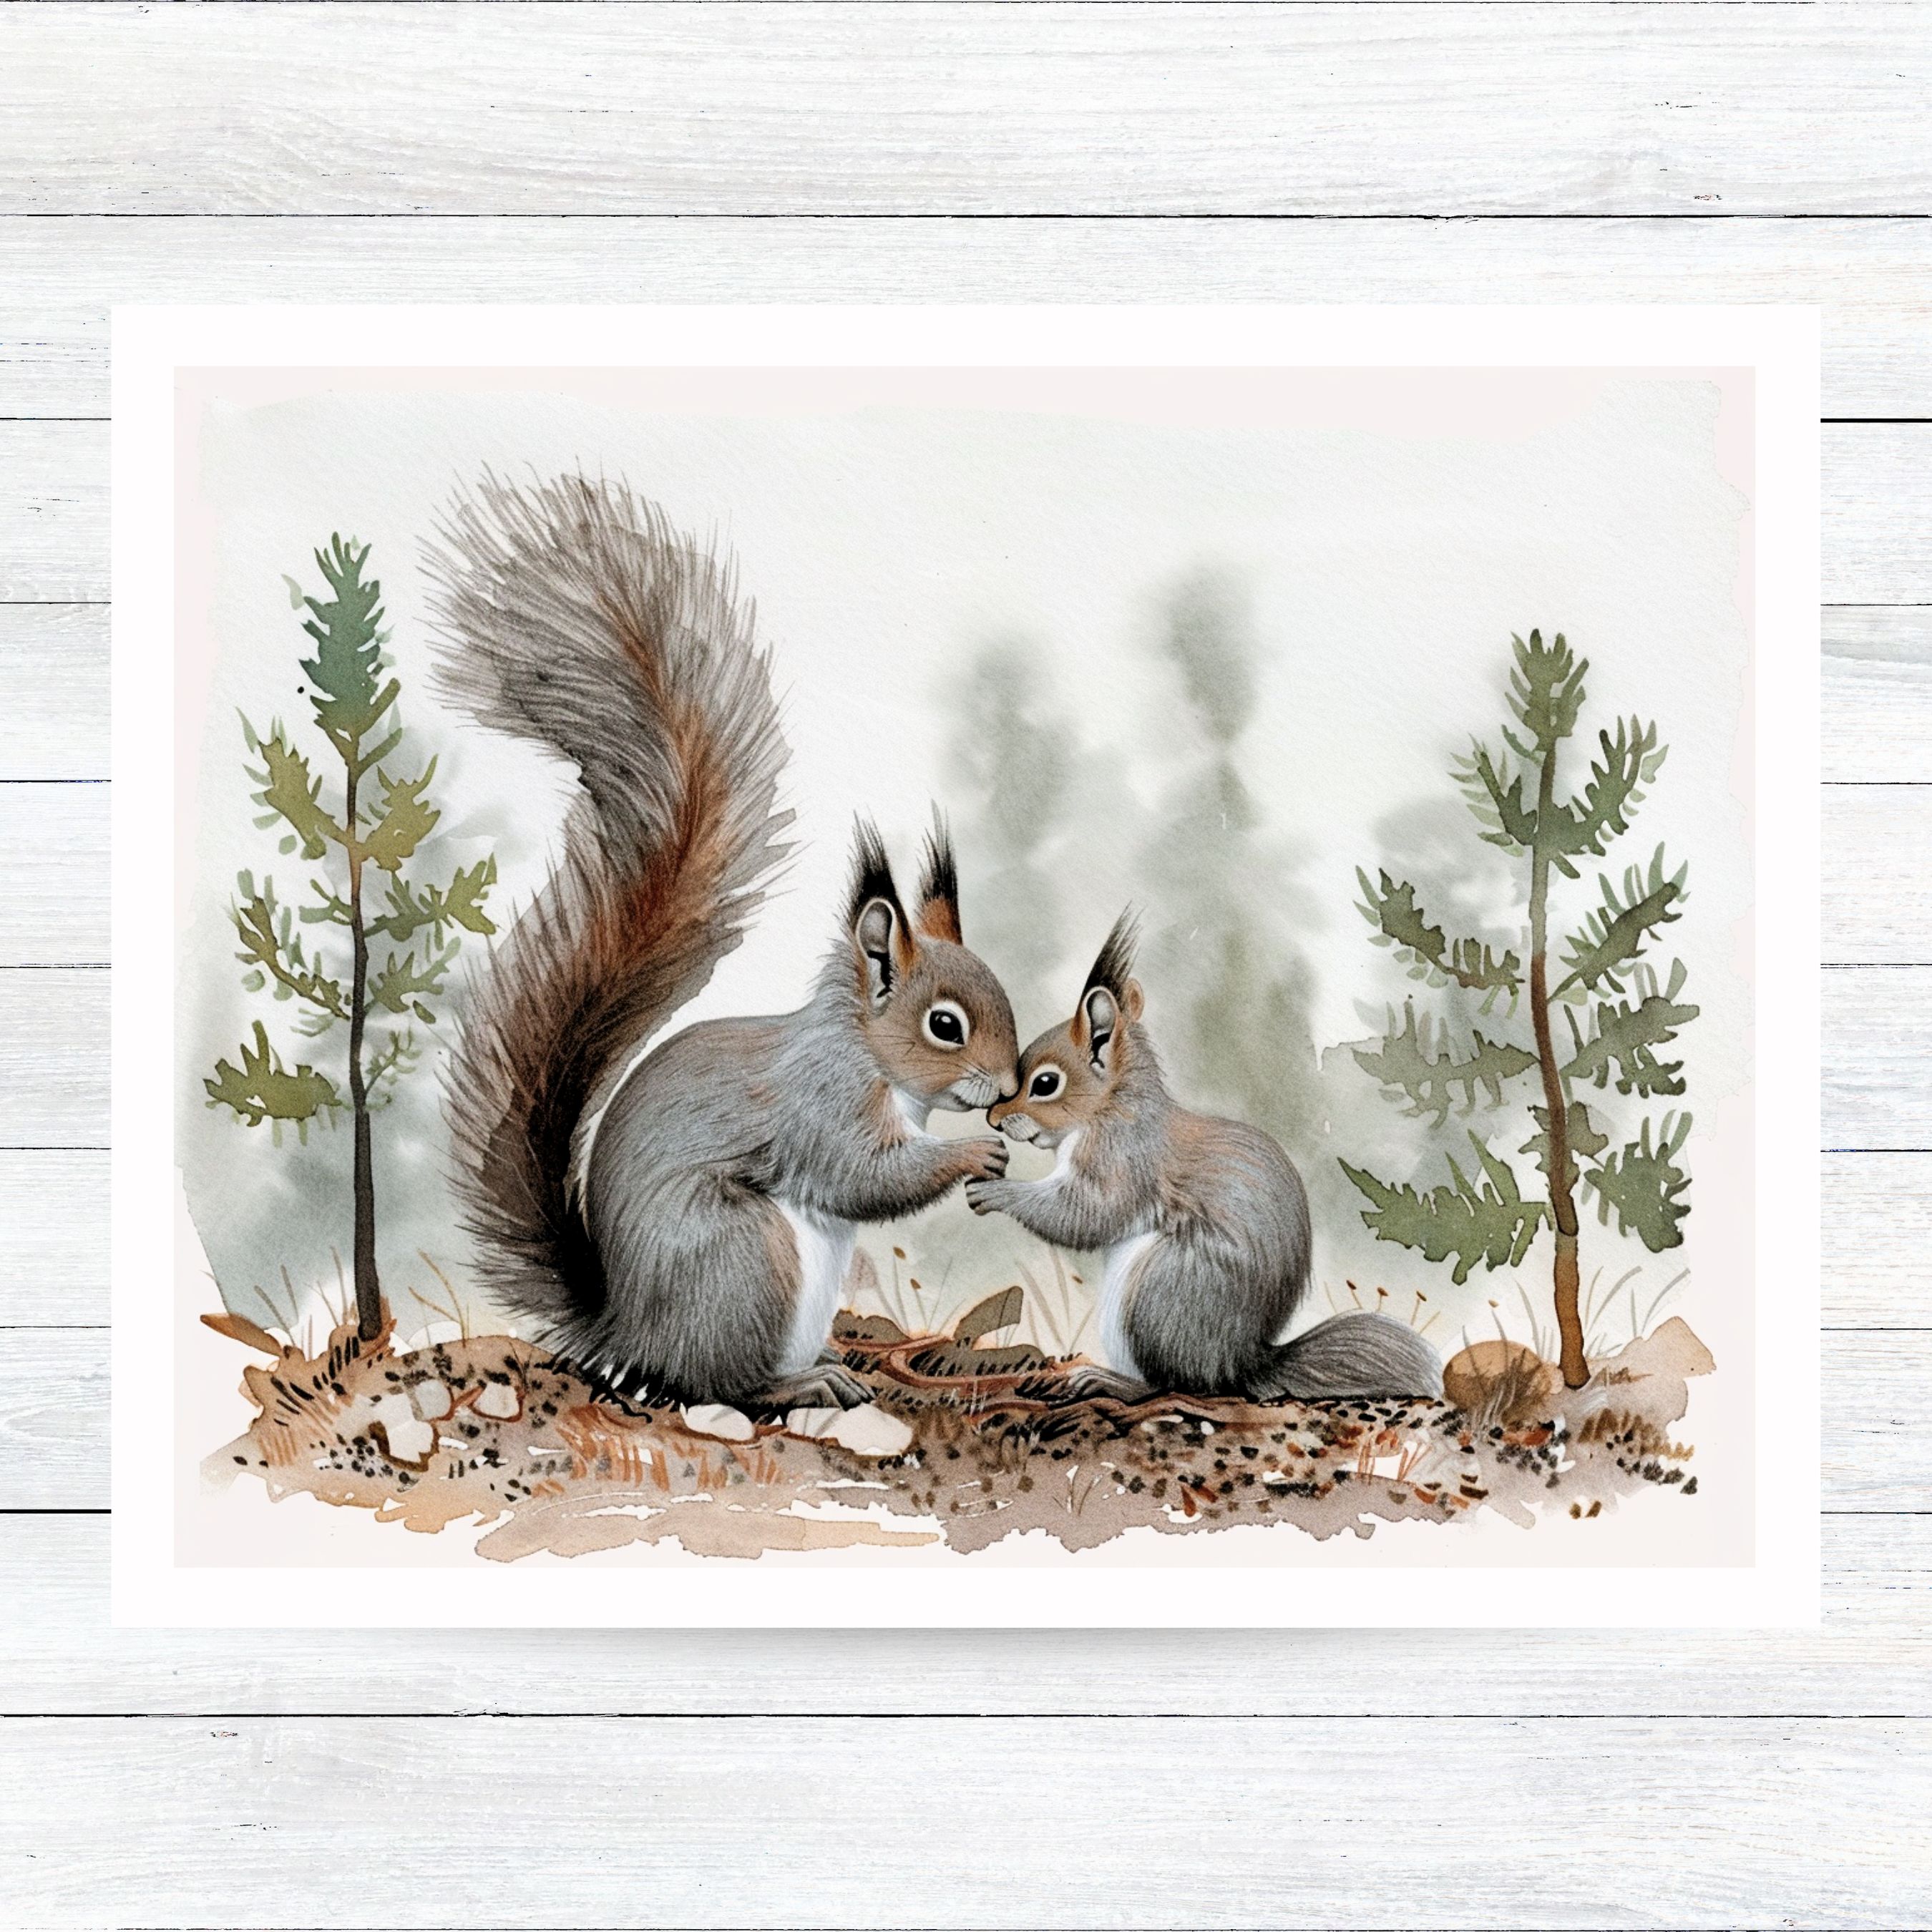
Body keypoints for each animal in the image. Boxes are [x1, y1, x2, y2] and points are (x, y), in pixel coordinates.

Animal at [427, 472, 1020, 1412]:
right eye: (945, 1025)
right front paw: (973, 1151)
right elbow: (864, 1176)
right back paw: (802, 1385)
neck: (866, 1052)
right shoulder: (822, 1109)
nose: (1005, 1088)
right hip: (745, 1259)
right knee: (723, 1385)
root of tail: (626, 1328)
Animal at [967, 915, 1443, 1405]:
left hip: (1161, 1295)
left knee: (1174, 1384)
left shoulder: (1124, 1159)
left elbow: (1084, 1214)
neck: (1112, 1108)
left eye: (1045, 1084)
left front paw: (996, 1191)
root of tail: (1236, 1365)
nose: (993, 1118)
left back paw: (1107, 1380)